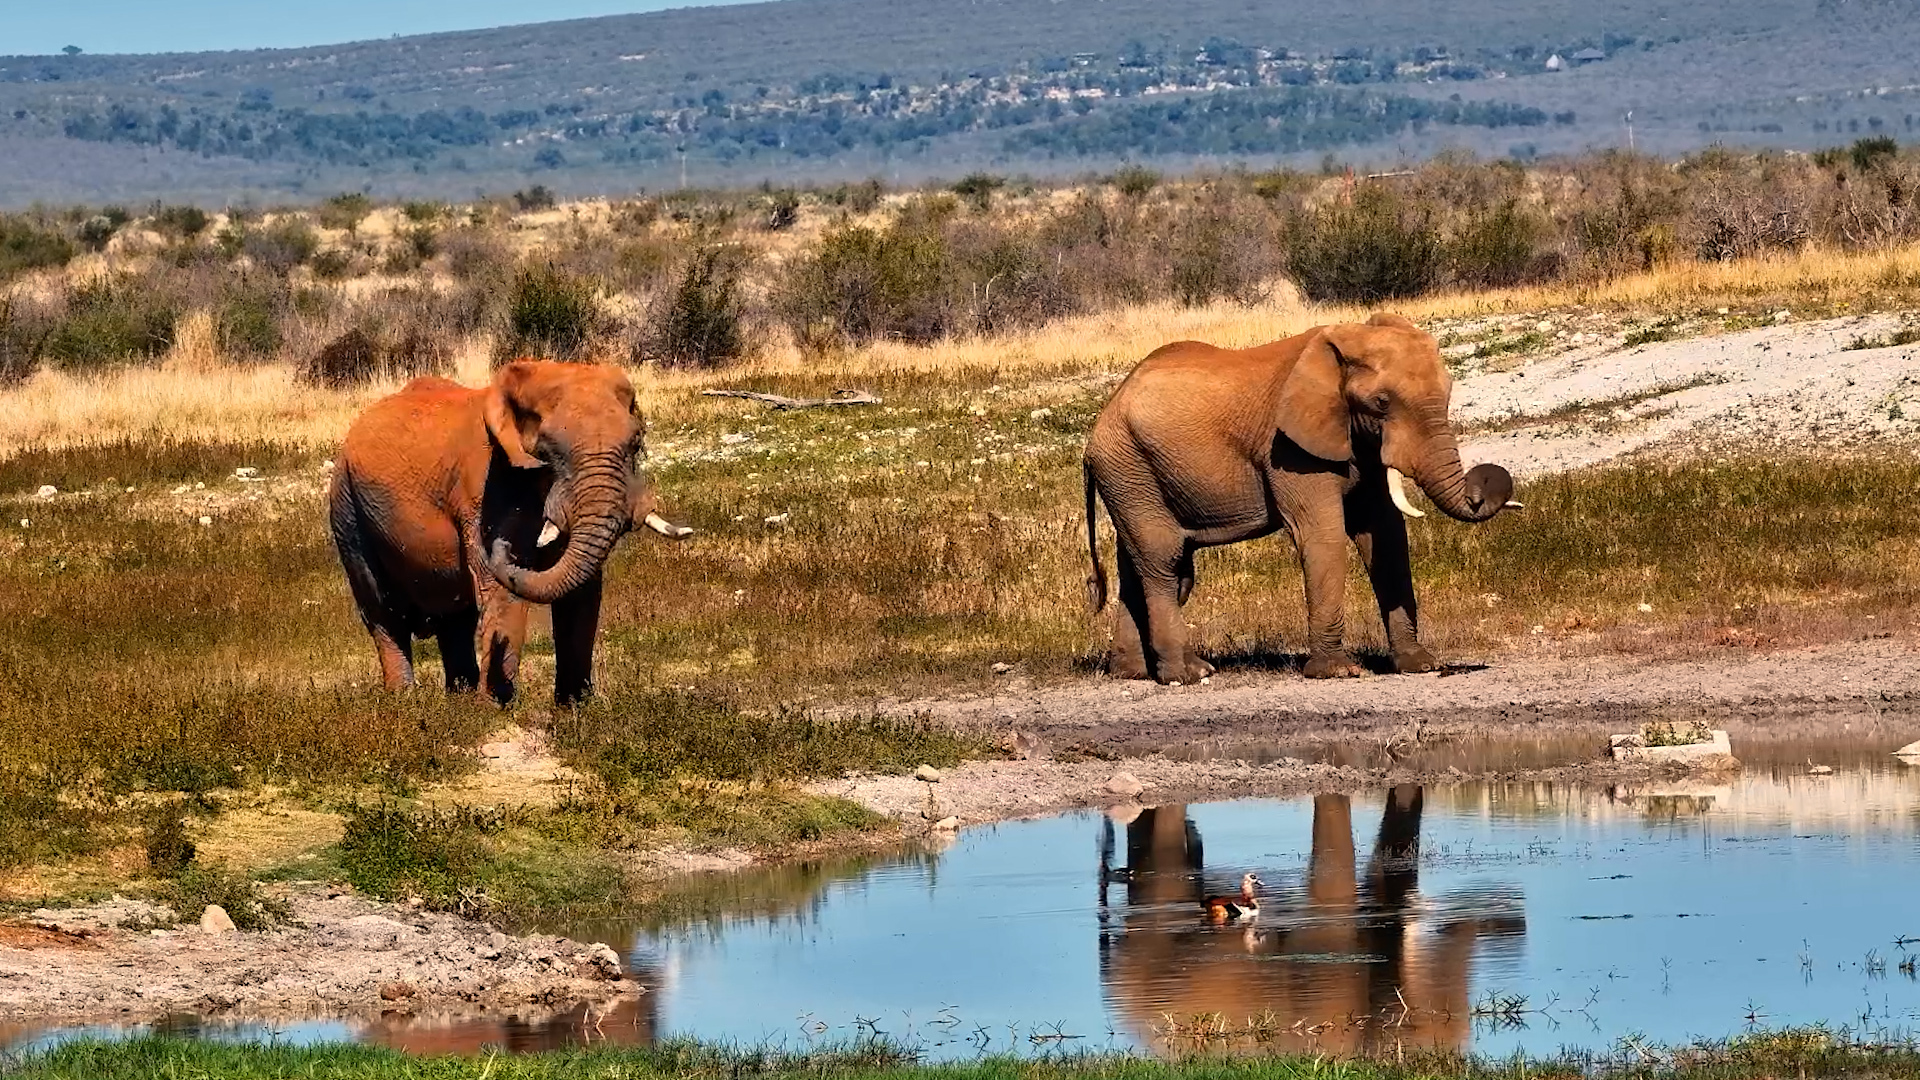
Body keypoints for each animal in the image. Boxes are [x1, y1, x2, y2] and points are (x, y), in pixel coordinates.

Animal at [329, 359, 692, 706]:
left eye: (636, 443)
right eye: (548, 450)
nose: (499, 547)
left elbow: (582, 592)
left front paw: (576, 709)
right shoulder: (485, 487)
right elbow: (502, 592)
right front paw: (496, 712)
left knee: (454, 618)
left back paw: (458, 704)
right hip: (345, 508)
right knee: (384, 614)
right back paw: (404, 703)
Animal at [1082, 313, 1520, 684]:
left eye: (1448, 394)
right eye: (1381, 403)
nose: (1483, 486)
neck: (1345, 342)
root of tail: (1101, 421)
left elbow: (1386, 534)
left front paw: (1419, 665)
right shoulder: (1290, 449)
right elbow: (1323, 536)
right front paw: (1337, 672)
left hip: (1131, 474)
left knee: (1138, 565)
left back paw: (1132, 672)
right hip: (1128, 466)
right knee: (1164, 560)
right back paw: (1190, 674)